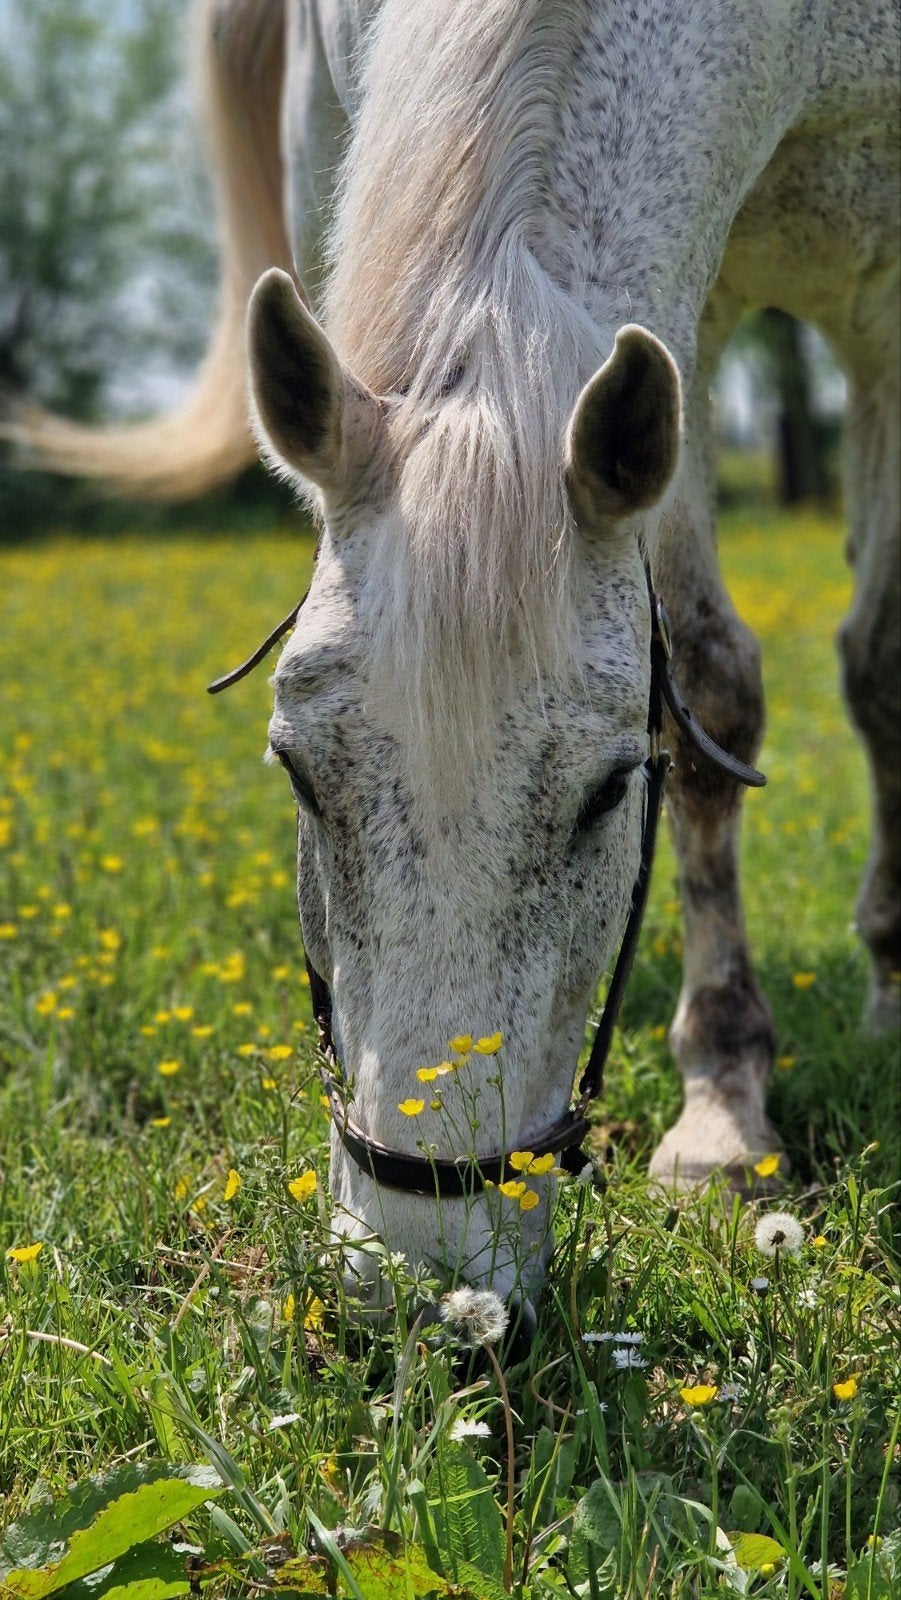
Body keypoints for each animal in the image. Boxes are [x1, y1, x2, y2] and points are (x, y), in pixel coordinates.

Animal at [12, 0, 899, 1317]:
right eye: (296, 772)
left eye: (605, 795)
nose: (424, 1280)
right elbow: (704, 677)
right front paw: (725, 1099)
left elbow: (849, 672)